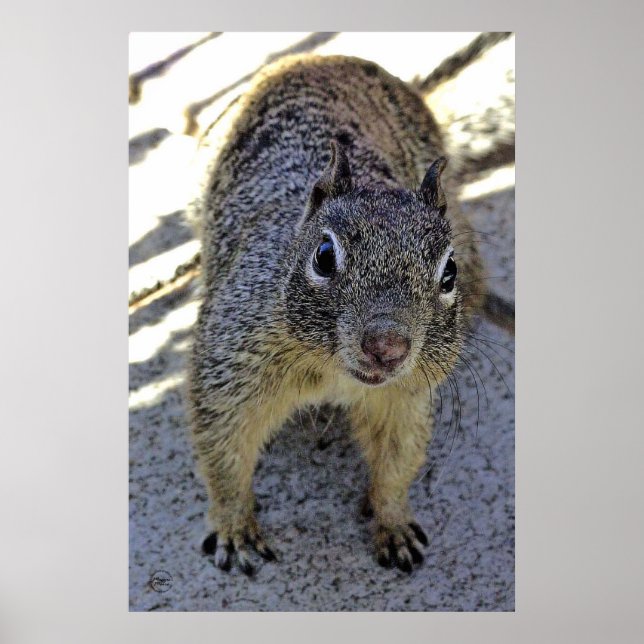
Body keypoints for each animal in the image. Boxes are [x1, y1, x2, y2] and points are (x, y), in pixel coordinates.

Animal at [188, 54, 509, 576]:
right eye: (323, 255)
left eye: (448, 273)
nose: (387, 346)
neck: (334, 373)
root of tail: (319, 57)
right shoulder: (230, 362)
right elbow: (222, 446)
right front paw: (234, 526)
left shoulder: (406, 397)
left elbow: (399, 460)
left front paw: (394, 522)